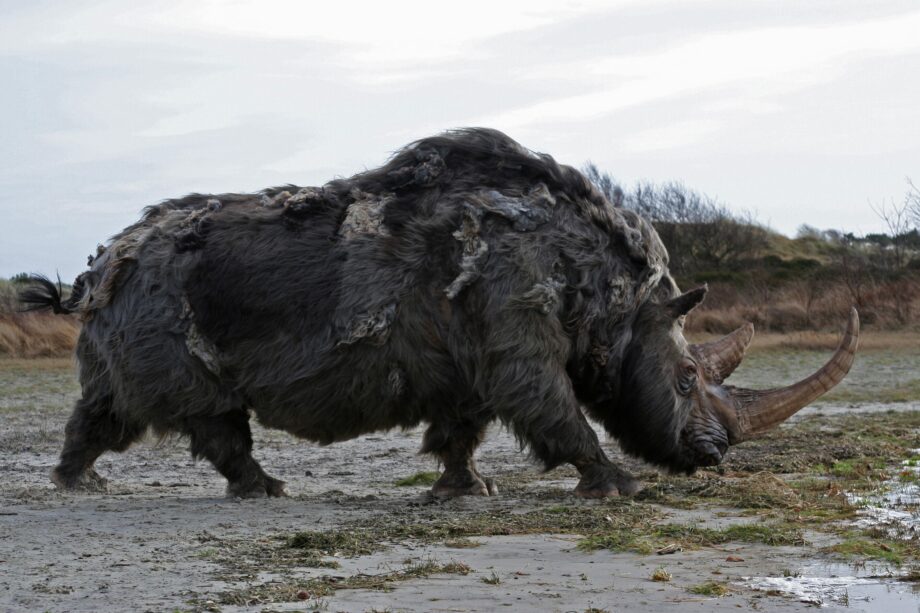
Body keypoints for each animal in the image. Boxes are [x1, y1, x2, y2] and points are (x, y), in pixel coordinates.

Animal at [22, 128, 859, 498]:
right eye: (685, 378)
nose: (713, 455)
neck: (620, 297)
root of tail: (95, 268)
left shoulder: (474, 351)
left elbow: (465, 426)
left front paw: (465, 490)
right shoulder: (517, 329)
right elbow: (558, 410)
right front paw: (618, 484)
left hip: (130, 300)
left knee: (111, 402)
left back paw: (81, 481)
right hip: (154, 293)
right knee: (194, 407)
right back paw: (261, 489)